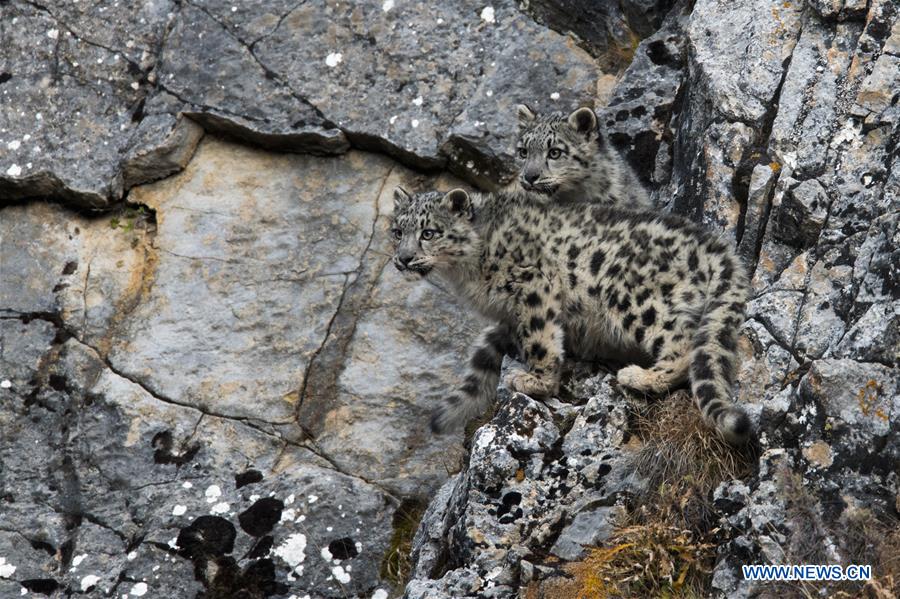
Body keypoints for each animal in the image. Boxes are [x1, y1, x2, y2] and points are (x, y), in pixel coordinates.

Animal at [390, 186, 751, 445]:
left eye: (429, 232)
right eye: (396, 231)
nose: (403, 259)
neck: (465, 273)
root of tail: (713, 244)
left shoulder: (534, 284)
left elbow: (539, 336)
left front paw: (536, 381)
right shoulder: (507, 317)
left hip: (633, 299)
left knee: (682, 341)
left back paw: (641, 376)